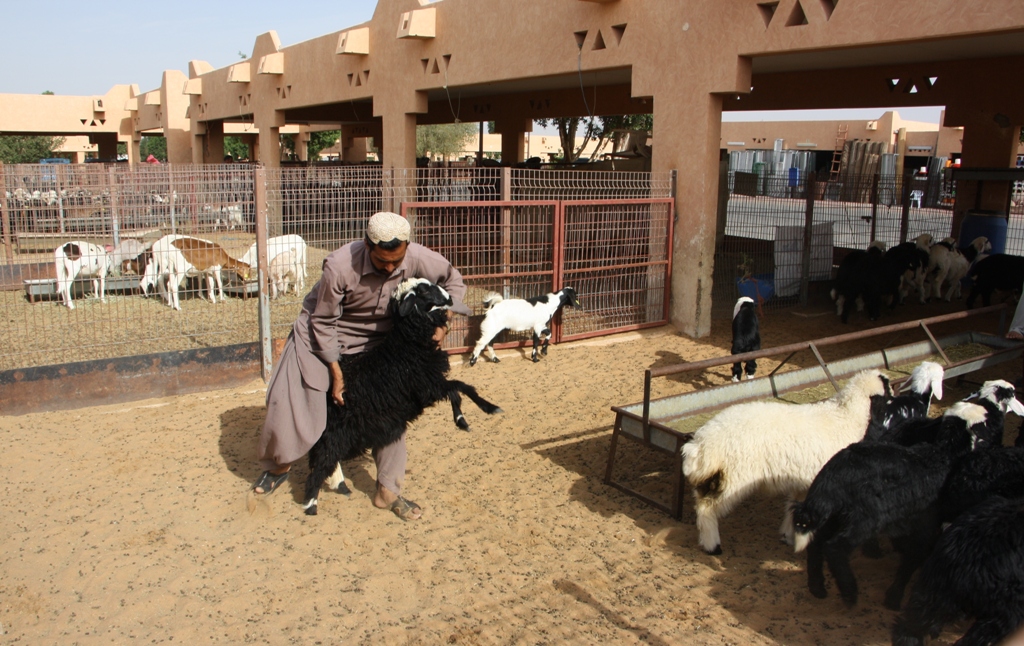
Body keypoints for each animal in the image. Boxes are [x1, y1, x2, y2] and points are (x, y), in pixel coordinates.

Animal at [684, 368, 892, 556]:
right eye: (889, 391)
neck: (847, 417)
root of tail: (703, 443)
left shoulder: (805, 481)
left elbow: (794, 507)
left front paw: (788, 536)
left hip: (714, 476)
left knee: (700, 500)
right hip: (733, 476)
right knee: (707, 507)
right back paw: (712, 546)